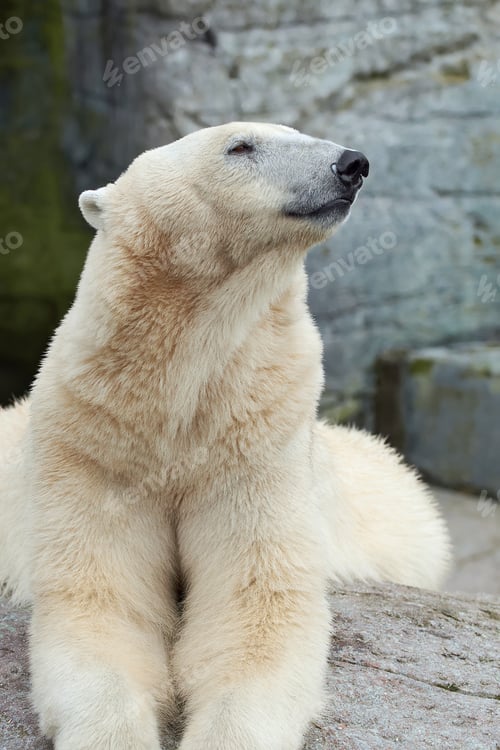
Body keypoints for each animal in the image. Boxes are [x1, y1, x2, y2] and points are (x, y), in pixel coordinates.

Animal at [0, 122, 450, 750]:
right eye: (240, 146)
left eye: (295, 129)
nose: (352, 164)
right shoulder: (92, 437)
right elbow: (99, 599)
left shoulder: (260, 431)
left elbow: (255, 603)